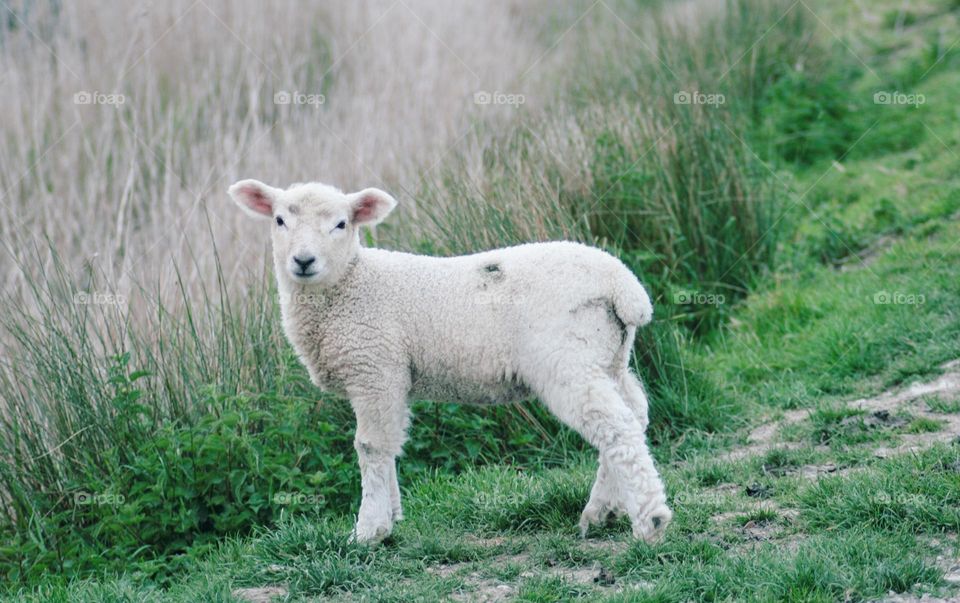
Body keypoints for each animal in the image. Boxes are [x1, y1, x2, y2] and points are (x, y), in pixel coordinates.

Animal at [228, 178, 672, 544]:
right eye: (280, 220)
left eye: (341, 224)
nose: (303, 261)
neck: (351, 284)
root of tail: (623, 286)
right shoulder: (393, 377)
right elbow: (391, 443)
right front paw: (391, 517)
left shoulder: (374, 368)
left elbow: (370, 446)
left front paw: (368, 530)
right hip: (608, 356)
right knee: (633, 413)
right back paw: (602, 511)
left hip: (567, 359)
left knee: (615, 427)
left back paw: (650, 522)